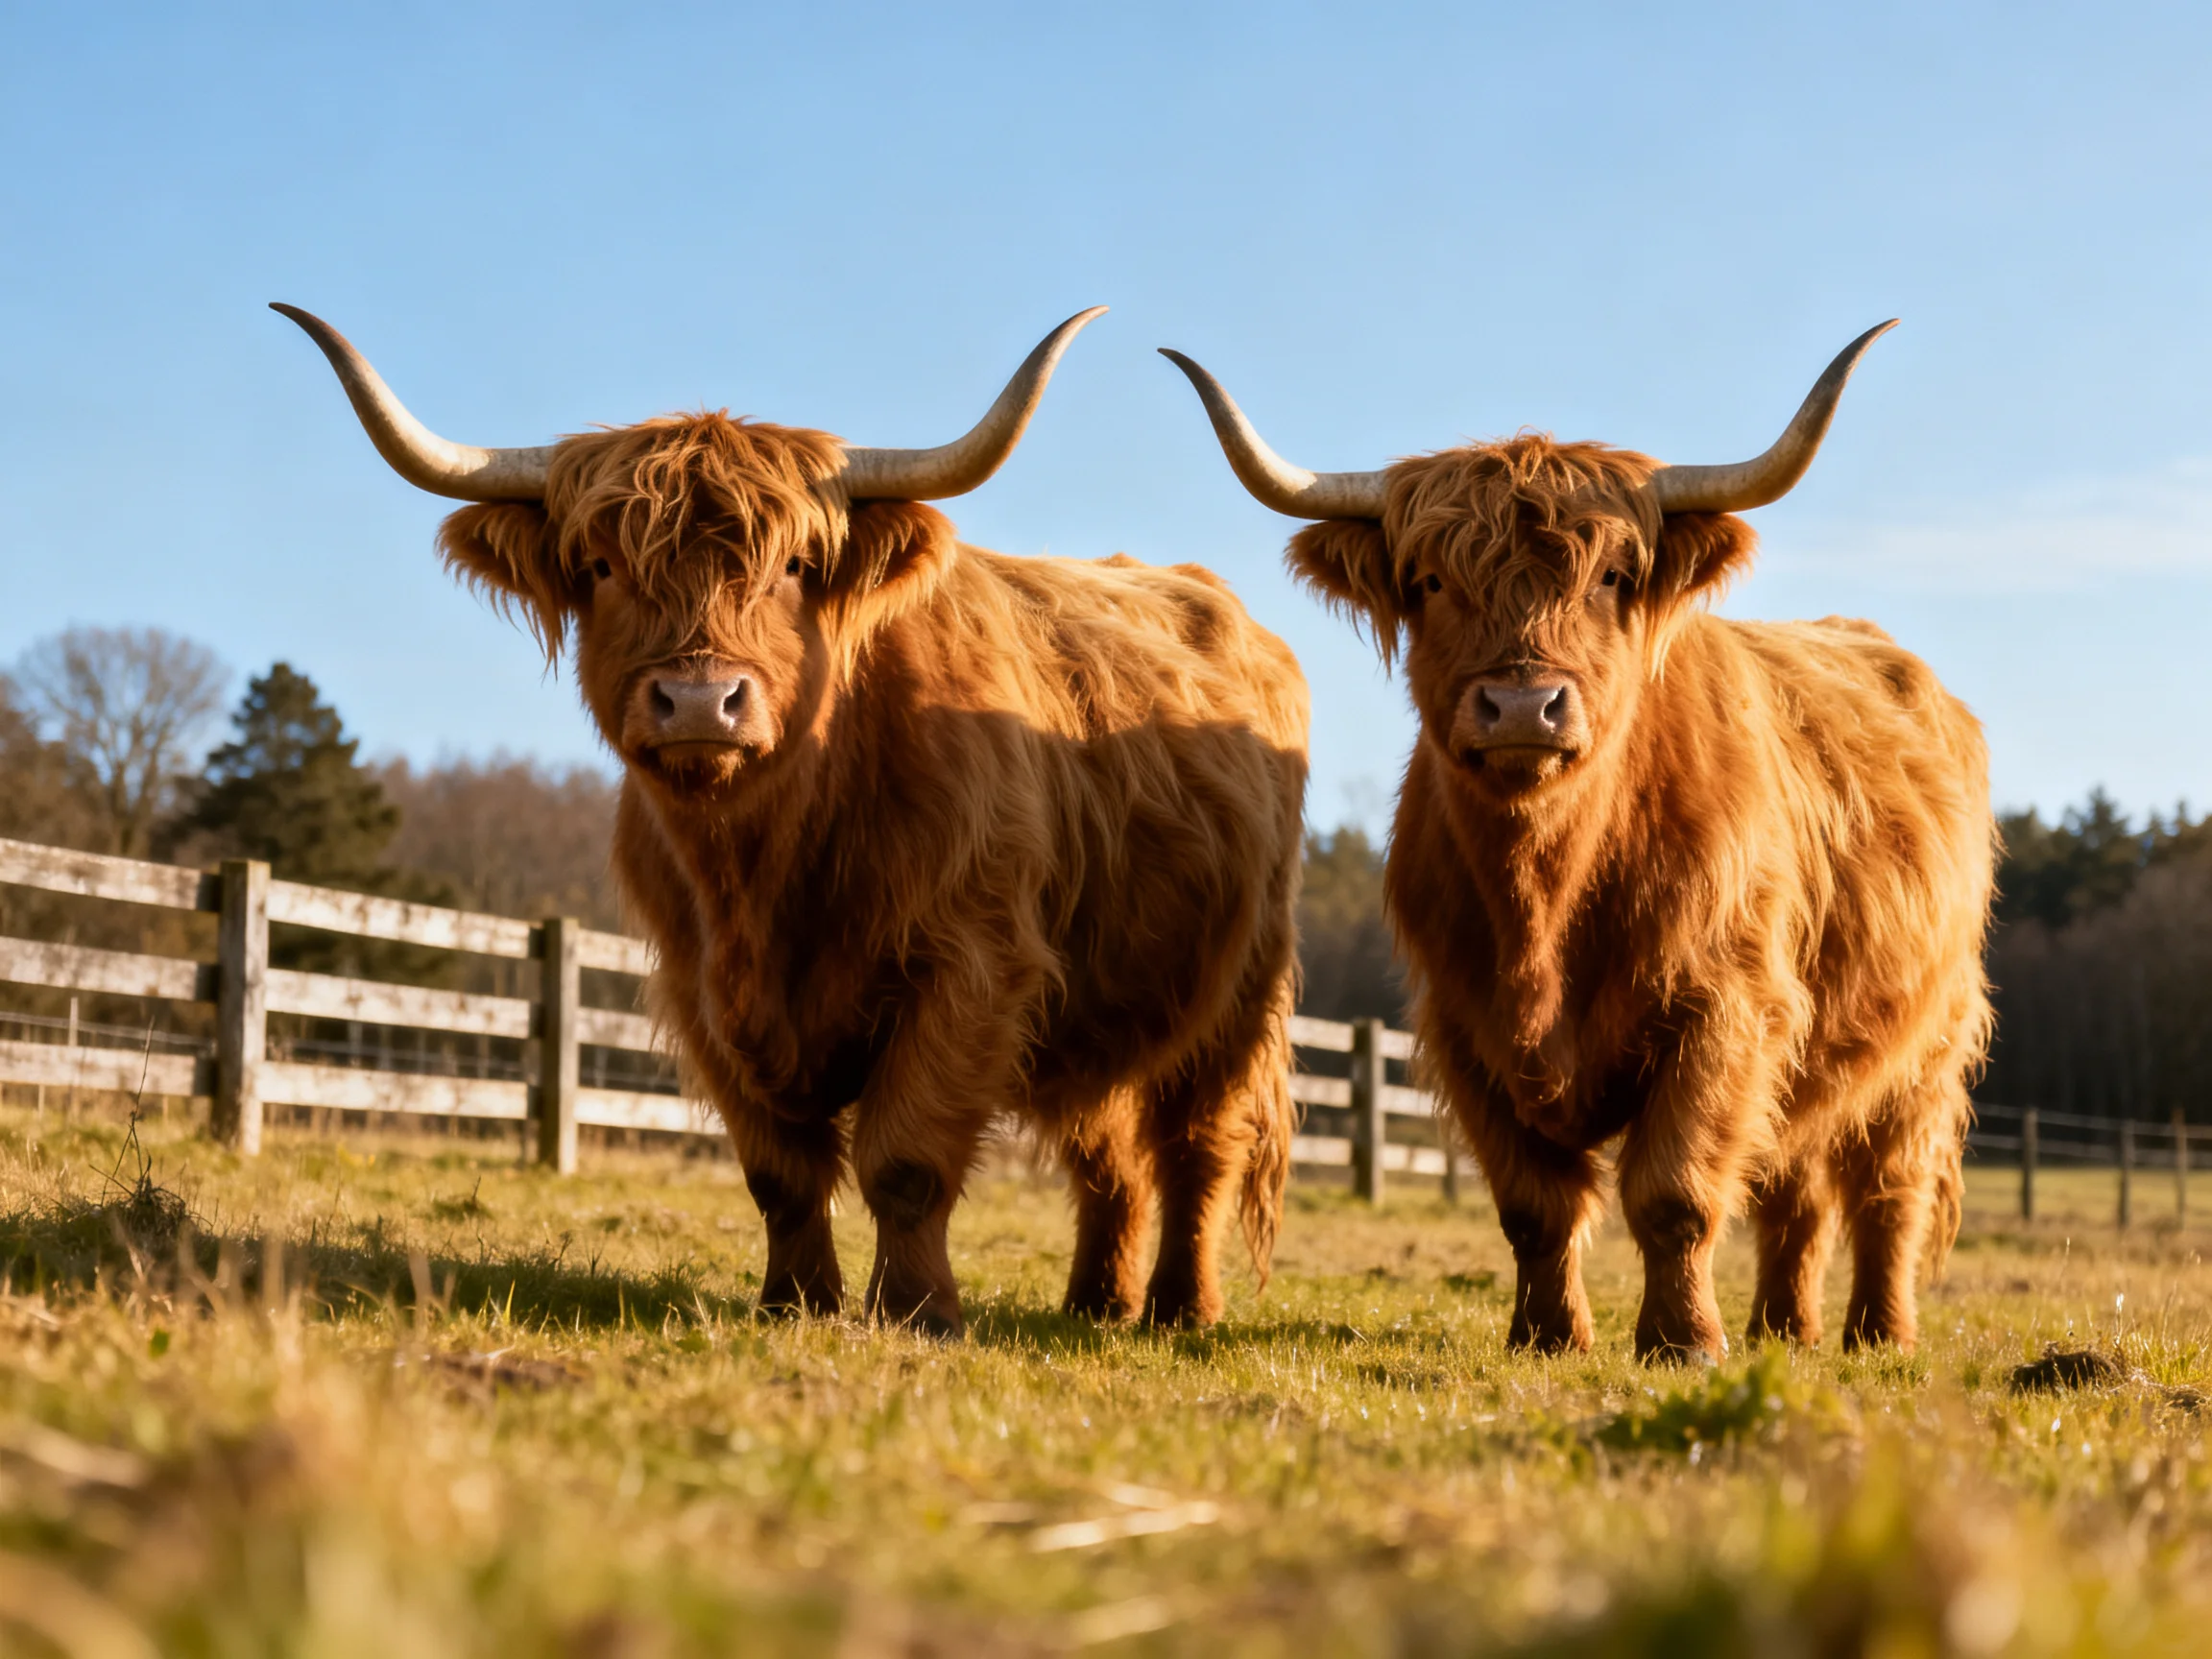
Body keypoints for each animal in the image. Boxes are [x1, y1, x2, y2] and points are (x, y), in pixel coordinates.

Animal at [277, 304, 1307, 1337]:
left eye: (797, 566)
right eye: (602, 565)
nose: (699, 701)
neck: (767, 867)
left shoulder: (973, 966)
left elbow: (905, 1161)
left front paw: (919, 1312)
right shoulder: (701, 991)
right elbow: (778, 1175)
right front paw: (794, 1301)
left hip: (1240, 989)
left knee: (1197, 1144)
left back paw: (1180, 1309)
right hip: (1094, 1007)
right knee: (1106, 1154)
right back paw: (1095, 1303)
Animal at [1165, 324, 1992, 1360]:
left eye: (1611, 579)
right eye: (1431, 581)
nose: (1524, 705)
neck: (1548, 897)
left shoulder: (1726, 1010)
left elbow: (1674, 1192)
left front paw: (1683, 1341)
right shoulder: (1467, 1026)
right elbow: (1535, 1205)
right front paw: (1549, 1335)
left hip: (1926, 1044)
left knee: (1886, 1188)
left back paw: (1877, 1333)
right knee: (1793, 1191)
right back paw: (1784, 1328)